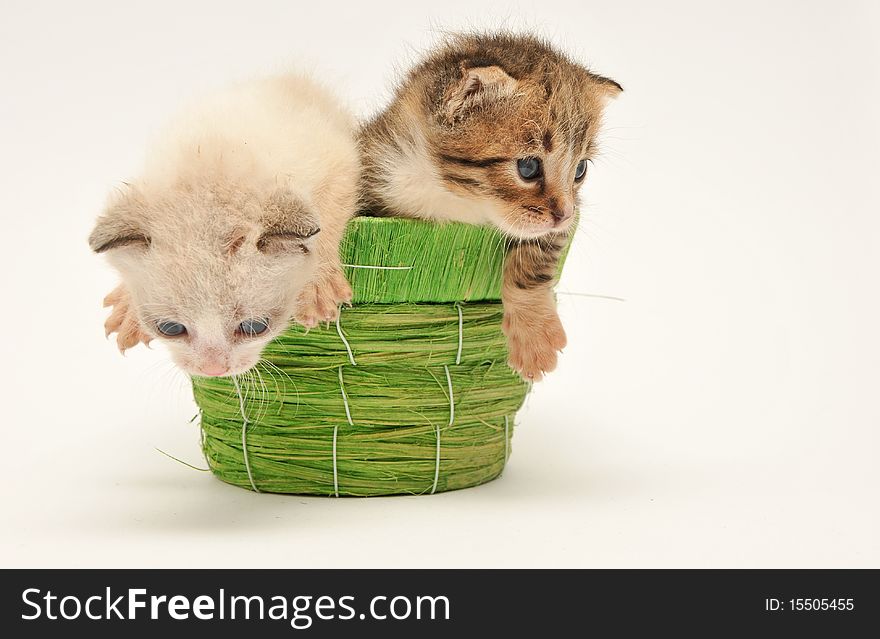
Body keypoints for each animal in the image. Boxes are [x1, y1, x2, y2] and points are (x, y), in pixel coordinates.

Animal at [358, 33, 620, 380]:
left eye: (580, 170)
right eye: (528, 167)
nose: (564, 215)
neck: (456, 200)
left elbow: (536, 255)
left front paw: (533, 331)